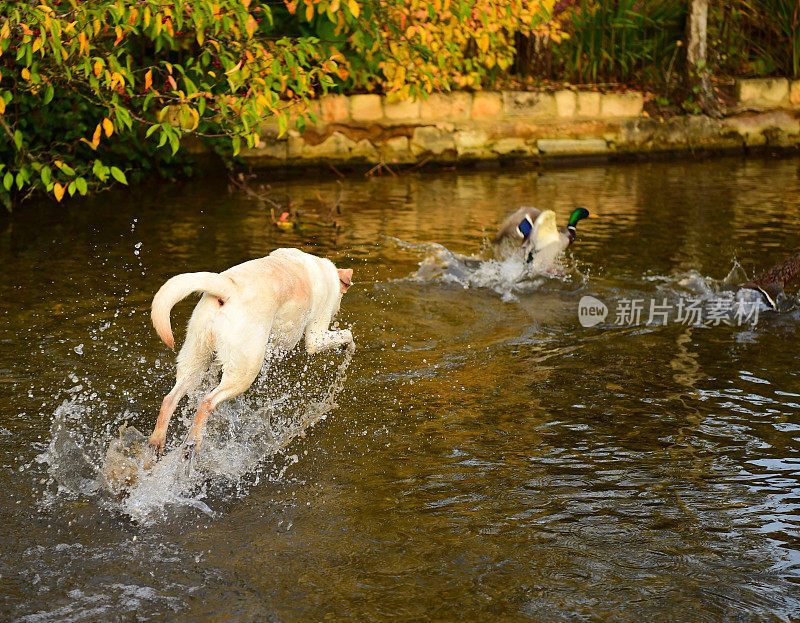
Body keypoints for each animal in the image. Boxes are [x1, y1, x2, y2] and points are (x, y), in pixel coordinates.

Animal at [147, 249, 354, 458]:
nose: (336, 312)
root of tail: (227, 289)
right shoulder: (316, 336)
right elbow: (347, 334)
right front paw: (348, 346)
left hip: (196, 357)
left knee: (170, 399)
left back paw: (157, 443)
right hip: (245, 369)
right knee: (207, 402)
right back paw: (193, 442)